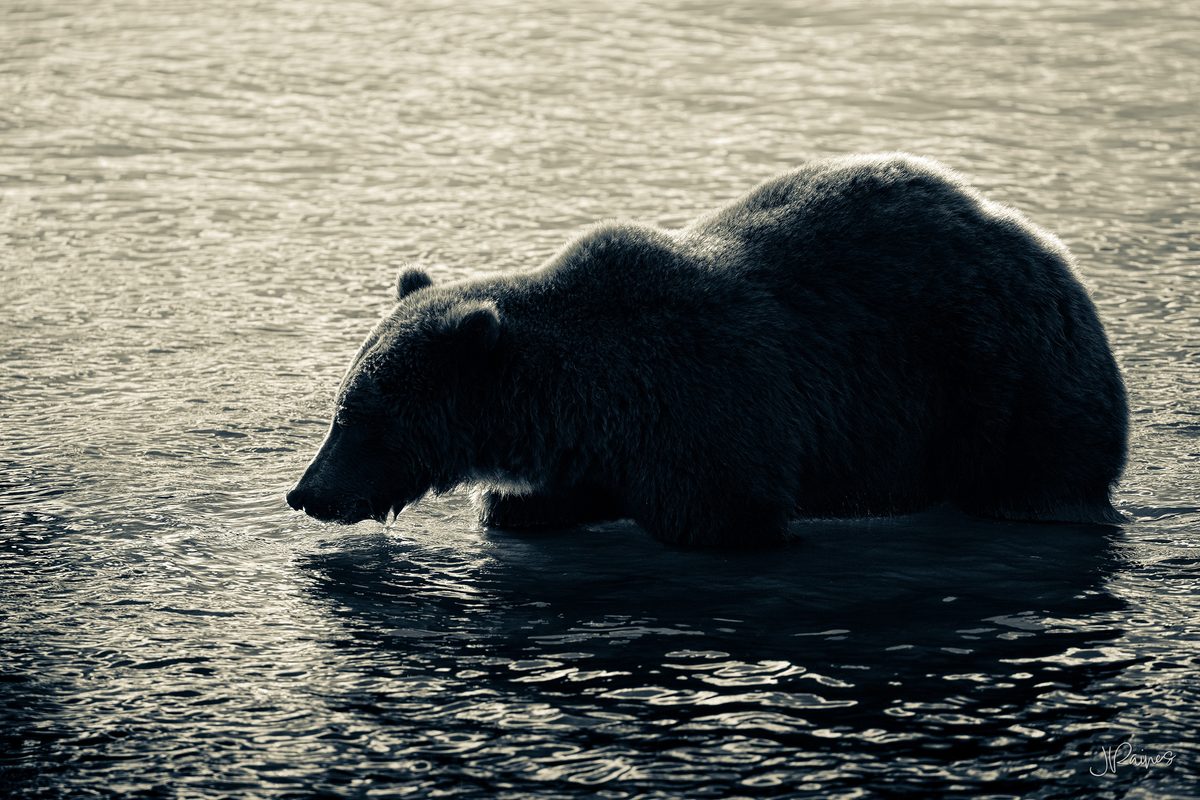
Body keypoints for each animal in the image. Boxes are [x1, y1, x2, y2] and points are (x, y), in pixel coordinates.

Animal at [286, 153, 1128, 547]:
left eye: (358, 420)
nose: (305, 492)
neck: (577, 403)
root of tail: (1053, 254)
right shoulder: (592, 451)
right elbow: (540, 501)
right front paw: (515, 507)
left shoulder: (708, 414)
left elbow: (723, 518)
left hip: (1003, 385)